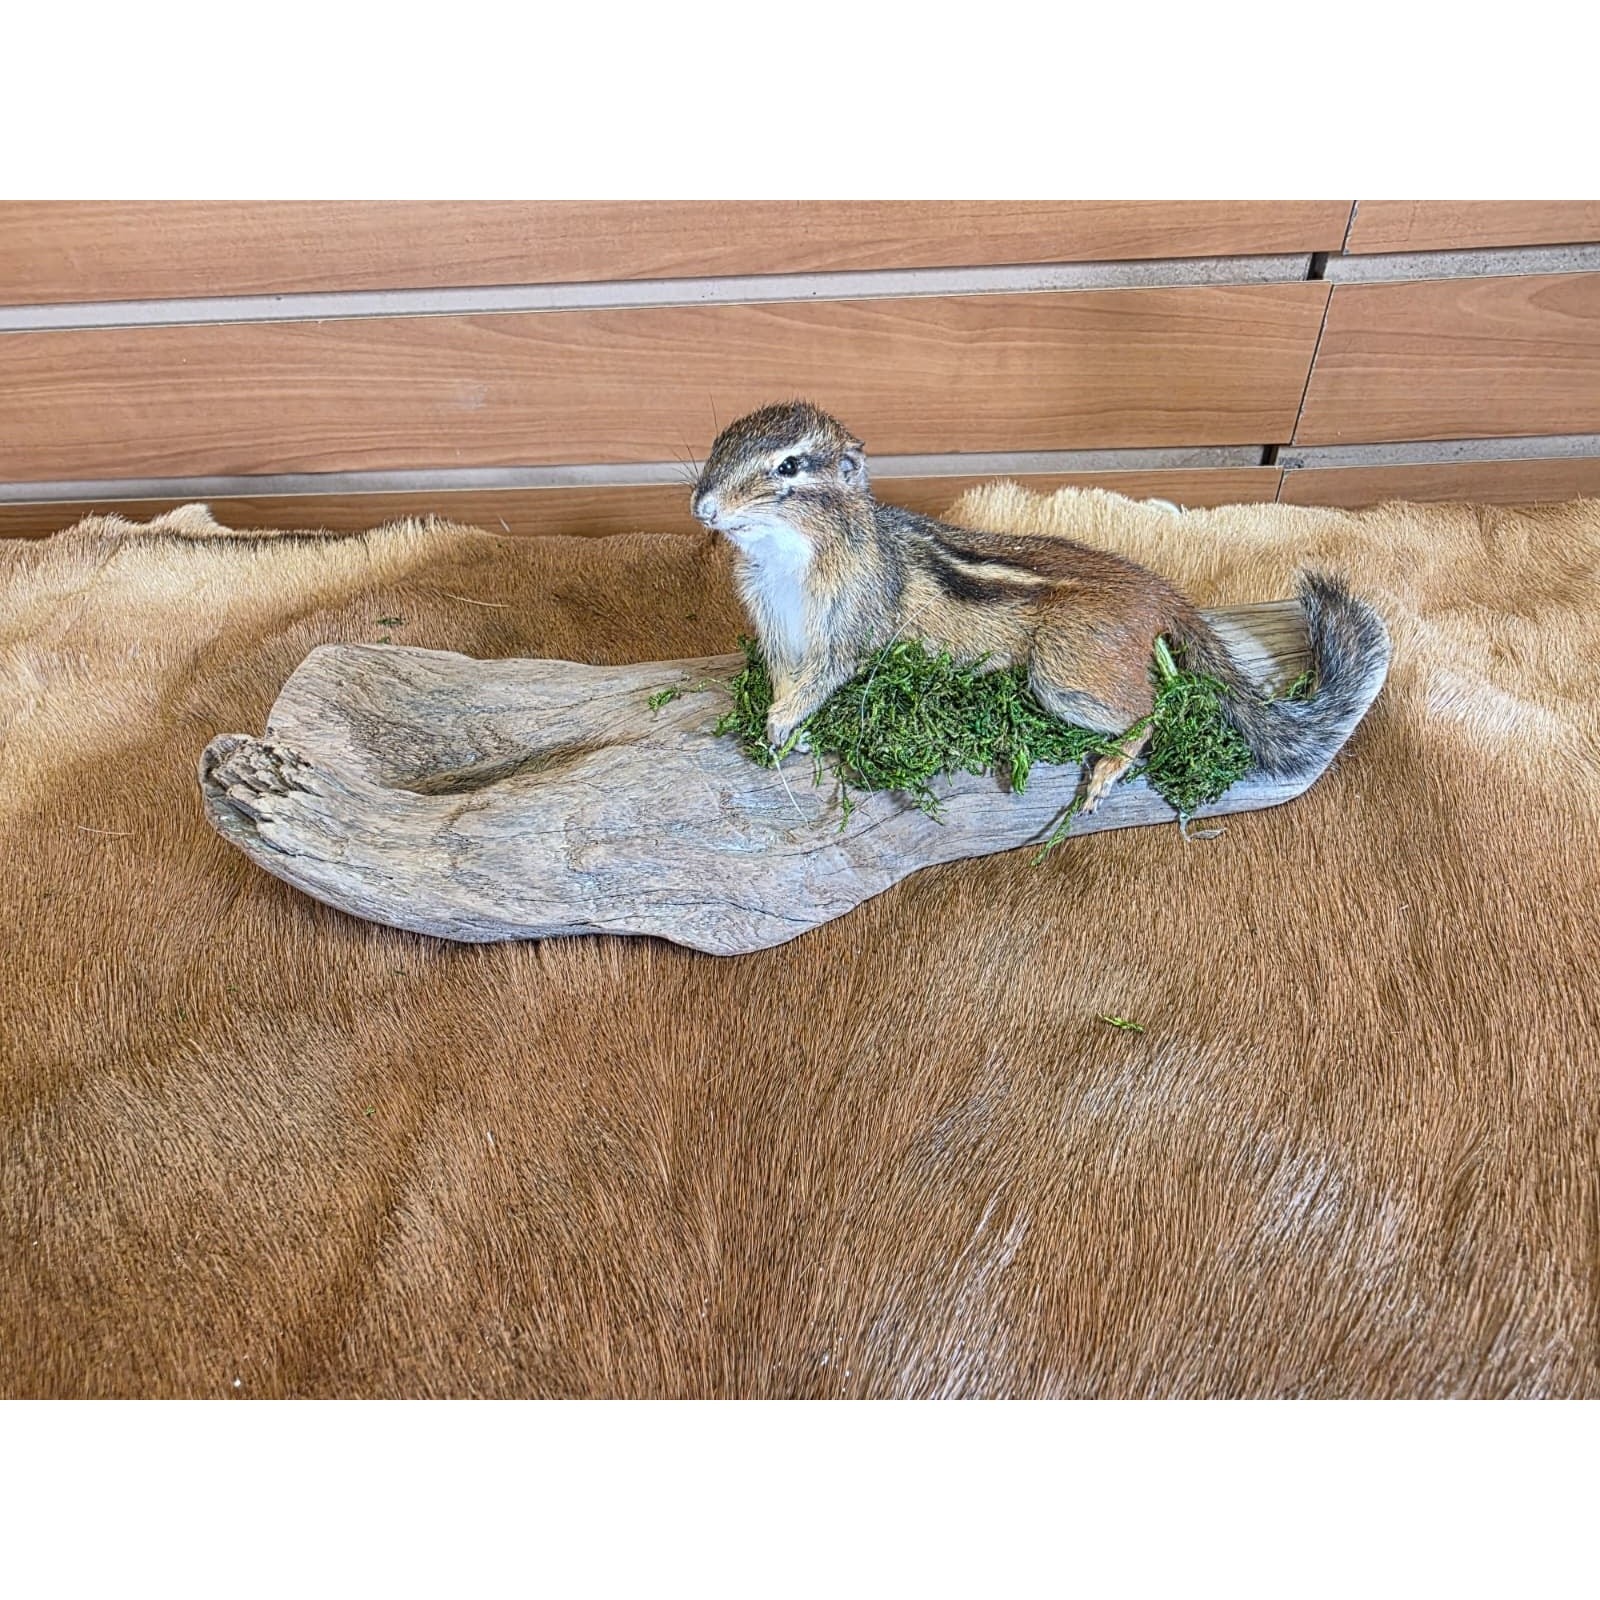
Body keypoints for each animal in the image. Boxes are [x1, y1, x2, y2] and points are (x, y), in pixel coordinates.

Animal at [692, 400, 1389, 811]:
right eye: (719, 442)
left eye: (789, 467)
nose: (702, 507)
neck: (786, 562)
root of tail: (1159, 591)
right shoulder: (777, 632)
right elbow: (786, 674)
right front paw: (782, 727)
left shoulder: (853, 622)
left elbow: (828, 674)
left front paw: (782, 719)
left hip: (1063, 671)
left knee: (1150, 711)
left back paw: (1109, 765)